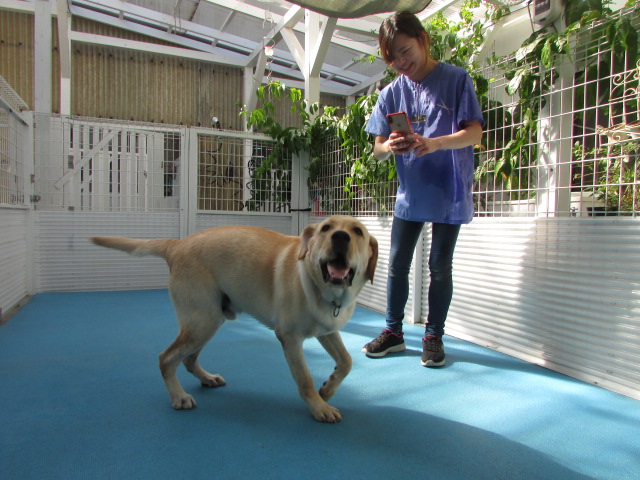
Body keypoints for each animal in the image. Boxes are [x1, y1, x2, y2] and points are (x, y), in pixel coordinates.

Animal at [90, 216, 376, 422]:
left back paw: (207, 379)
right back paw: (179, 397)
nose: (340, 236)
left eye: (358, 231)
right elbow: (305, 379)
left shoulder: (327, 330)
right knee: (166, 358)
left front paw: (328, 389)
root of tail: (177, 245)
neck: (323, 290)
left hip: (209, 320)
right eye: (326, 228)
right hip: (202, 322)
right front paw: (319, 407)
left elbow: (347, 361)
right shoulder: (290, 338)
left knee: (189, 359)